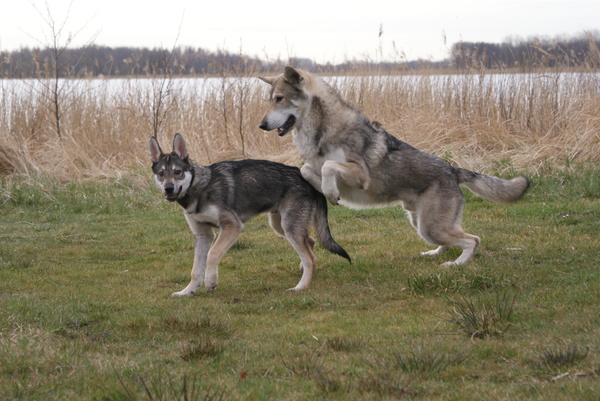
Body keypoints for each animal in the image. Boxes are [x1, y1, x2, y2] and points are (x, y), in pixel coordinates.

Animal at [149, 134, 352, 294]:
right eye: (161, 174)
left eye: (177, 172)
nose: (168, 188)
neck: (200, 187)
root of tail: (304, 176)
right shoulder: (203, 235)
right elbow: (195, 270)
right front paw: (187, 291)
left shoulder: (231, 226)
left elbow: (213, 254)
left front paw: (211, 281)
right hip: (281, 226)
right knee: (310, 242)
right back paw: (303, 272)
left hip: (288, 226)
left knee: (311, 257)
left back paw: (301, 287)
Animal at [258, 65, 528, 266]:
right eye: (270, 101)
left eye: (279, 99)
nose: (261, 125)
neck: (321, 132)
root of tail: (454, 169)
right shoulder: (314, 166)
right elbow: (308, 170)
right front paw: (327, 191)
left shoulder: (360, 175)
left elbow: (328, 167)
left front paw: (331, 192)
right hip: (423, 225)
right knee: (455, 240)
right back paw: (434, 254)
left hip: (430, 228)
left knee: (473, 240)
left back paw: (455, 265)